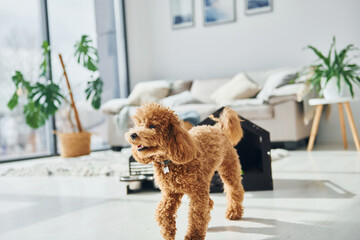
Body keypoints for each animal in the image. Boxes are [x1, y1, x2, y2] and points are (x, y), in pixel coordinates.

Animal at [125, 102, 246, 240]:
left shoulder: (197, 193)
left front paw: (194, 236)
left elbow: (196, 214)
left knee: (234, 190)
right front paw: (168, 232)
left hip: (228, 169)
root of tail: (219, 128)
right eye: (138, 124)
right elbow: (162, 212)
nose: (132, 135)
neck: (169, 161)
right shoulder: (170, 192)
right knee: (210, 202)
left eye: (152, 126)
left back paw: (234, 212)